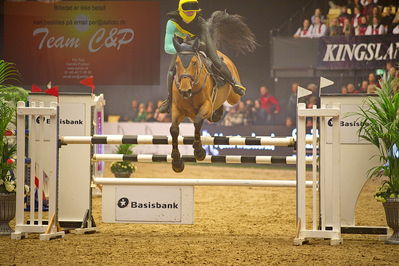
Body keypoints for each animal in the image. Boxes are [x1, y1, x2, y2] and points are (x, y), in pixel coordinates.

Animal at [169, 38, 241, 174]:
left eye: (194, 63)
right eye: (176, 63)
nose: (185, 91)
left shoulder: (206, 106)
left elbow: (197, 122)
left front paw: (199, 151)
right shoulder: (177, 109)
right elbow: (174, 129)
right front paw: (176, 162)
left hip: (234, 97)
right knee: (215, 114)